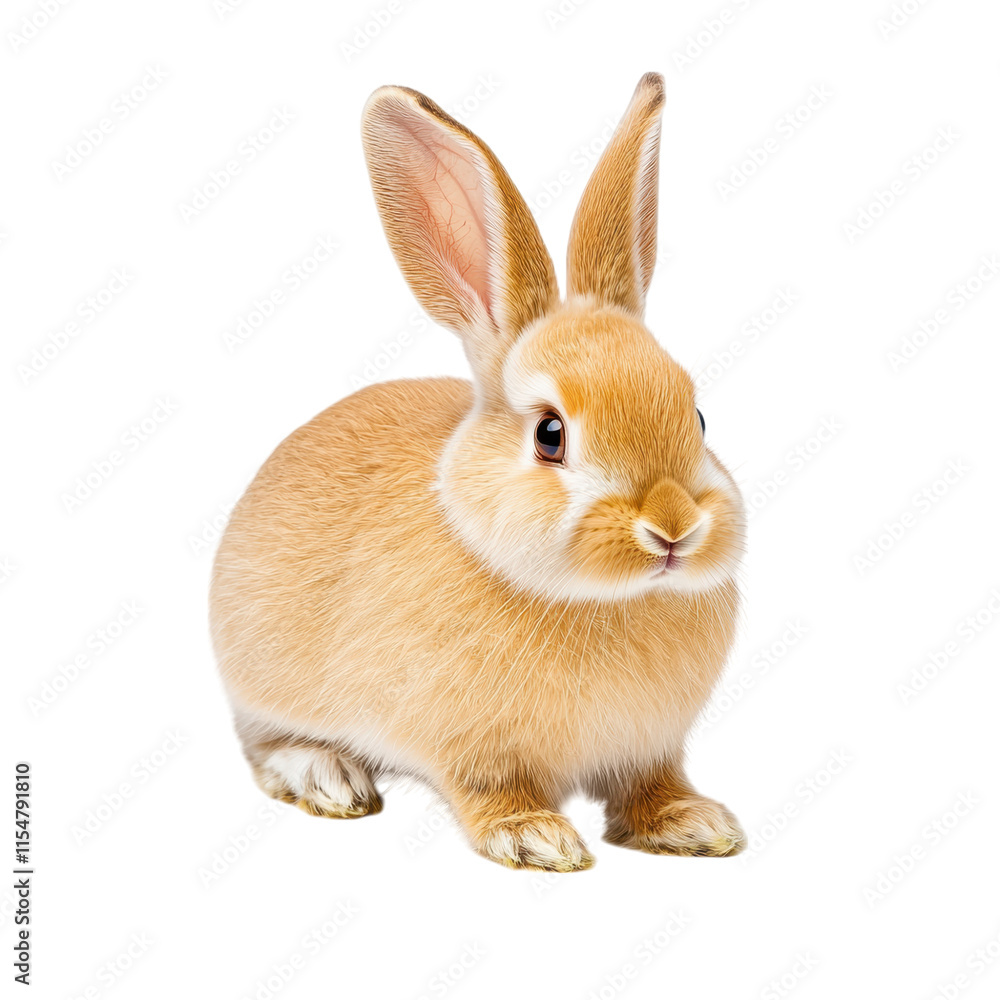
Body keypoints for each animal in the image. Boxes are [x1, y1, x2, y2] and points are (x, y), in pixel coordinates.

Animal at [210, 72, 747, 871]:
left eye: (700, 418)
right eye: (551, 435)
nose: (673, 528)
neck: (599, 600)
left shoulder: (649, 749)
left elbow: (650, 786)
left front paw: (693, 823)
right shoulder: (471, 749)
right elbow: (491, 790)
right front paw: (534, 838)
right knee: (265, 746)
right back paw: (329, 776)